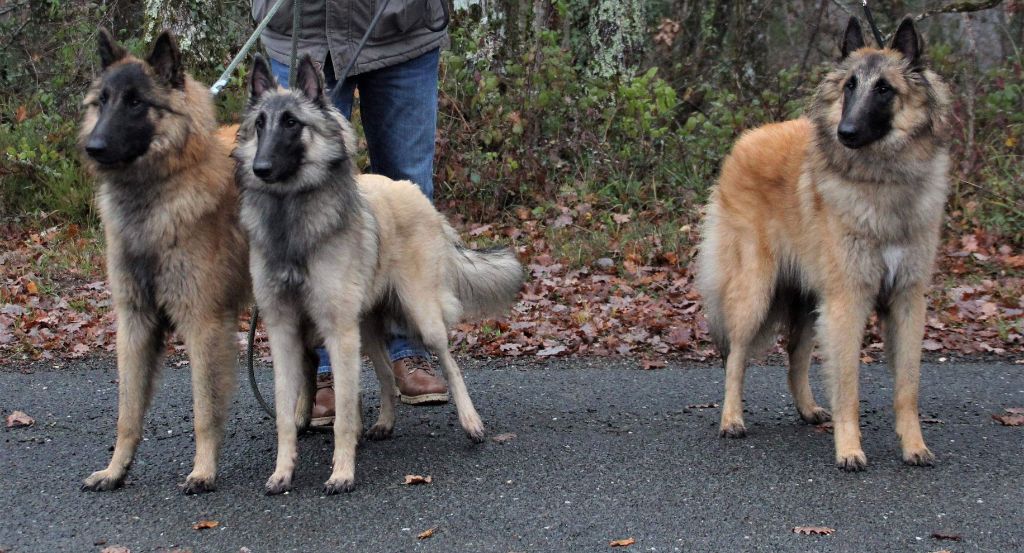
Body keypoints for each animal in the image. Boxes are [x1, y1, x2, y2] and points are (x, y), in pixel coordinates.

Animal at [78, 28, 248, 491]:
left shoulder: (204, 323)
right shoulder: (135, 322)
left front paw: (203, 470)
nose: (93, 147)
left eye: (137, 102)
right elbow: (127, 412)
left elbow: (204, 410)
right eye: (103, 100)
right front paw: (115, 469)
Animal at [235, 52, 524, 491]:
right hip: (367, 329)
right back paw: (385, 423)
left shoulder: (338, 332)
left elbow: (343, 415)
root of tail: (415, 192)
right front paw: (283, 471)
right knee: (387, 375)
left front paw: (342, 473)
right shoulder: (286, 335)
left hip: (422, 317)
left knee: (449, 364)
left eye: (292, 123)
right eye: (259, 125)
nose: (261, 167)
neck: (292, 220)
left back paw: (471, 423)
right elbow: (287, 415)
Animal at [696, 17, 950, 471]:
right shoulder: (847, 301)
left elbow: (907, 387)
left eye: (883, 89)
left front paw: (914, 446)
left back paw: (808, 410)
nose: (845, 132)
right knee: (735, 357)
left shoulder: (907, 300)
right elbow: (847, 384)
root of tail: (743, 141)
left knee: (795, 355)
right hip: (755, 291)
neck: (882, 180)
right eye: (849, 86)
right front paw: (849, 450)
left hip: (809, 299)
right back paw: (731, 419)